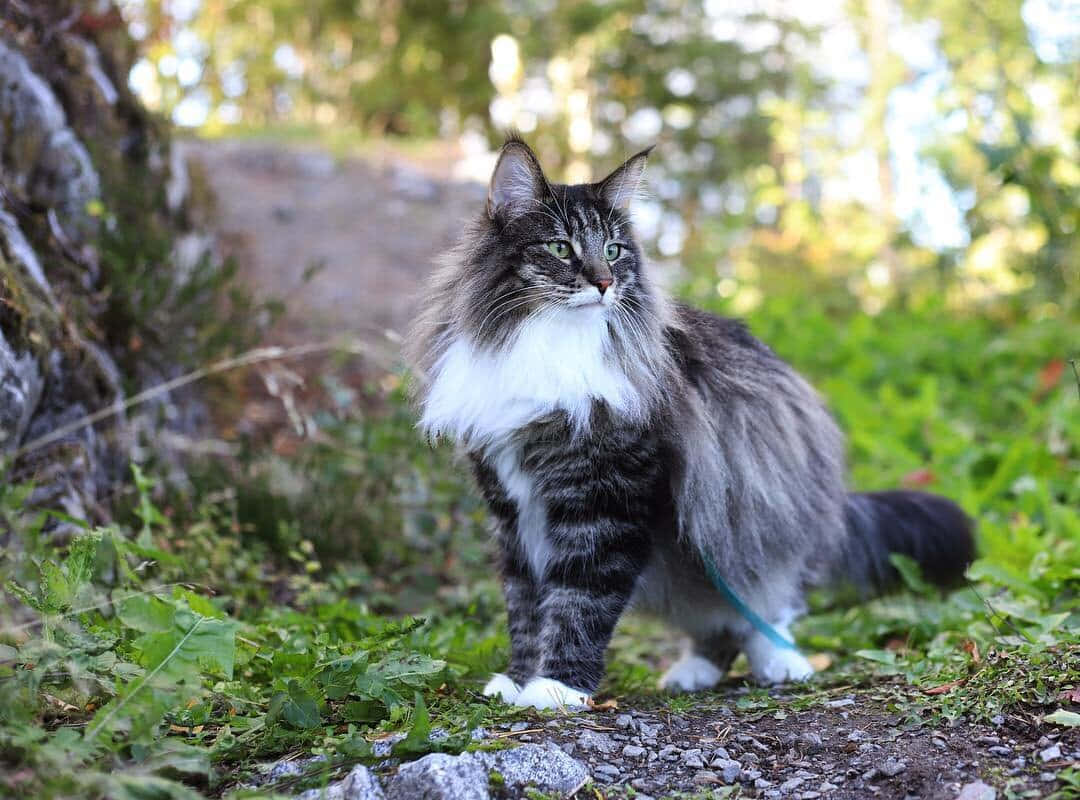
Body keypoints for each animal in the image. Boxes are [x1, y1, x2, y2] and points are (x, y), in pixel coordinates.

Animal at [406, 134, 980, 708]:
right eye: (560, 248)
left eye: (613, 250)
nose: (604, 283)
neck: (548, 345)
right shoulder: (512, 506)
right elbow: (524, 603)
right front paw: (518, 679)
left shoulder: (609, 504)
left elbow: (580, 600)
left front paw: (557, 687)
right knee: (720, 623)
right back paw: (695, 671)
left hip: (743, 516)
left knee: (768, 603)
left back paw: (782, 662)